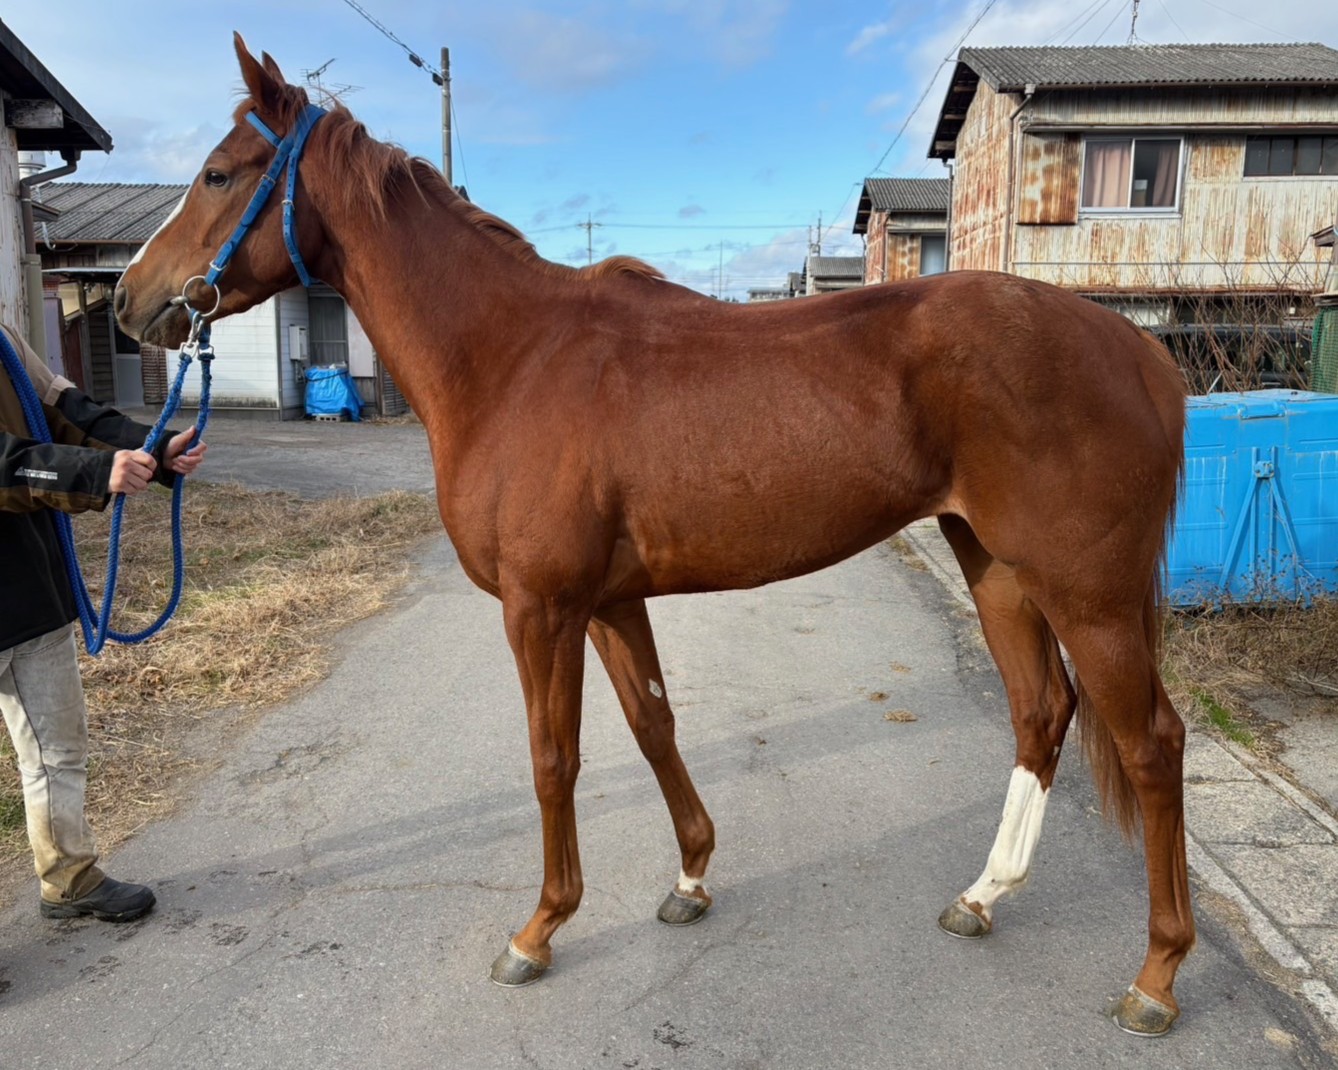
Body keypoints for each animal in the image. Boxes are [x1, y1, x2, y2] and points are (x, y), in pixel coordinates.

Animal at [115, 35, 1192, 1036]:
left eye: (220, 173)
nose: (131, 300)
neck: (512, 358)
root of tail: (1139, 351)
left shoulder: (540, 608)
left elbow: (553, 757)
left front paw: (539, 930)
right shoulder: (608, 601)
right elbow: (652, 724)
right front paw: (691, 877)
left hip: (1087, 594)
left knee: (1150, 742)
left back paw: (1156, 975)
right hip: (996, 566)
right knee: (1041, 712)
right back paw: (981, 896)